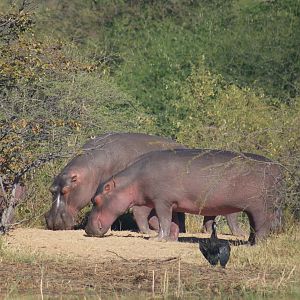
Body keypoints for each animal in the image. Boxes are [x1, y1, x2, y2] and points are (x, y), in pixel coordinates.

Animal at [85, 149, 282, 245]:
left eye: (96, 199)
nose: (87, 229)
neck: (131, 182)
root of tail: (276, 167)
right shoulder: (172, 203)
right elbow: (173, 223)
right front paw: (172, 240)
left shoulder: (161, 202)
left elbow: (163, 221)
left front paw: (156, 239)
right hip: (252, 208)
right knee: (254, 226)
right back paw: (248, 242)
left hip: (260, 207)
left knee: (262, 225)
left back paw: (255, 244)